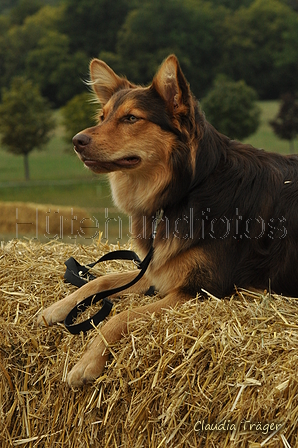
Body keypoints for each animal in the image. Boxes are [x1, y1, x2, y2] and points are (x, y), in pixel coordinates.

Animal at [38, 55, 298, 384]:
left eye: (131, 118)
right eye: (102, 116)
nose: (76, 141)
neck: (189, 187)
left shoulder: (200, 289)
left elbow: (122, 316)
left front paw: (87, 362)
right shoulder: (157, 268)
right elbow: (101, 280)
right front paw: (59, 307)